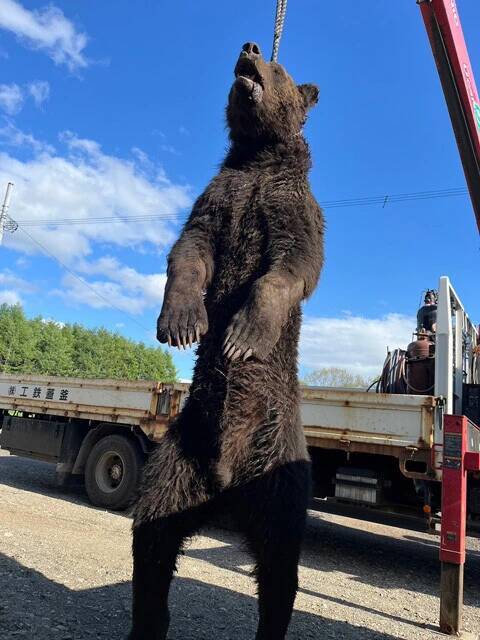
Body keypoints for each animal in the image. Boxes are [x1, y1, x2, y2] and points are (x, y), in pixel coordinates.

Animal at [129, 41, 324, 640]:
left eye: (280, 69)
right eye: (260, 49)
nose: (252, 47)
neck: (258, 159)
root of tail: (225, 483)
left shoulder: (290, 209)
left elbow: (291, 268)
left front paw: (239, 336)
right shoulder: (217, 201)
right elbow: (188, 252)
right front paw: (183, 322)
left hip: (279, 468)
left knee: (279, 564)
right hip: (178, 456)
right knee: (153, 534)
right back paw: (147, 621)